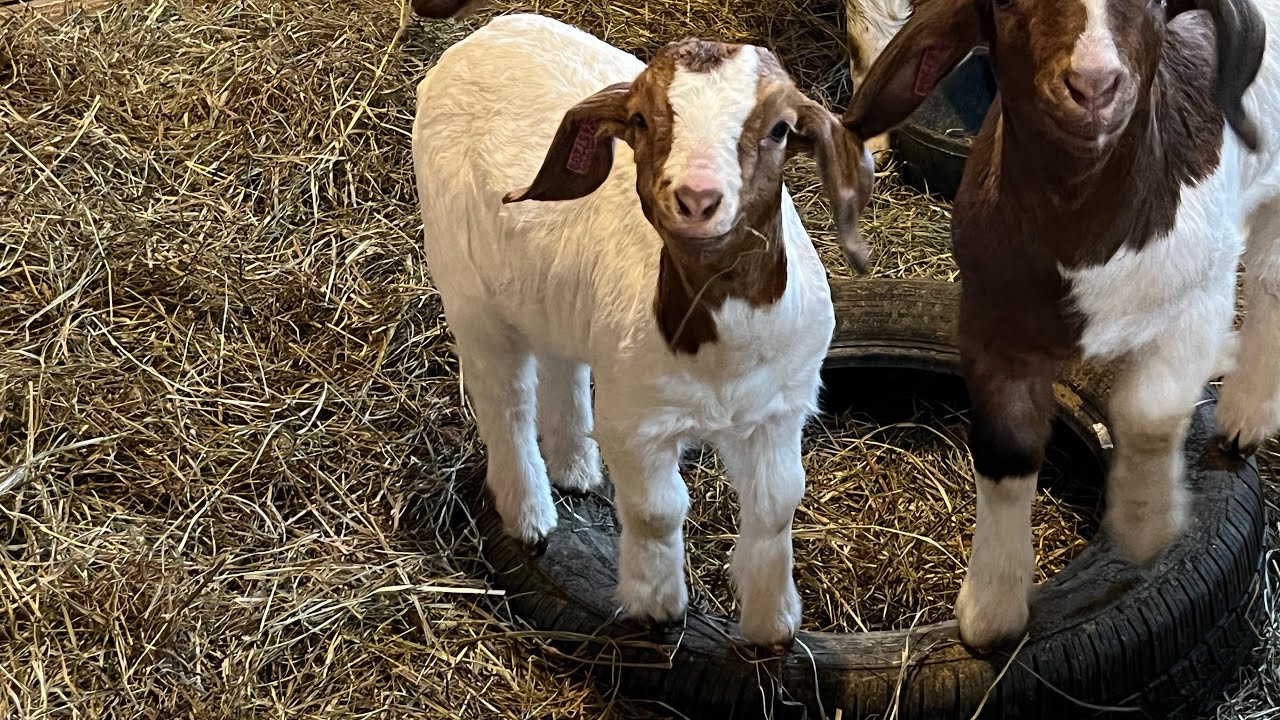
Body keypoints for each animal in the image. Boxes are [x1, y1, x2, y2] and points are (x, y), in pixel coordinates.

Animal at [412, 13, 875, 647]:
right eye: (638, 121)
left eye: (780, 129)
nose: (697, 198)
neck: (720, 352)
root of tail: (490, 31)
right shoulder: (638, 422)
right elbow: (659, 511)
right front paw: (657, 606)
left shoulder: (780, 408)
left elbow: (777, 503)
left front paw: (773, 624)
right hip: (468, 290)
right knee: (505, 403)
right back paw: (530, 513)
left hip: (550, 293)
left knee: (562, 362)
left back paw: (576, 469)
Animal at [844, 0, 1273, 650]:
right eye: (1002, 4)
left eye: (1154, 4)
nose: (1094, 84)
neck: (1080, 223)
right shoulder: (990, 320)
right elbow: (1006, 449)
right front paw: (992, 609)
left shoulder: (1198, 296)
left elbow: (1147, 410)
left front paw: (1145, 522)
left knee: (1272, 283)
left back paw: (1247, 414)